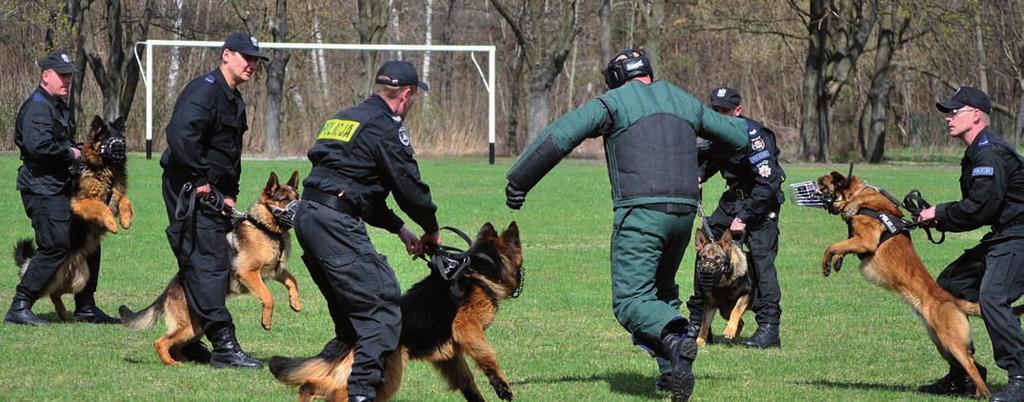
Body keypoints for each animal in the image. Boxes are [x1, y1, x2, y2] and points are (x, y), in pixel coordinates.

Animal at [13, 116, 132, 319]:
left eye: (121, 139)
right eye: (108, 139)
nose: (120, 149)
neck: (103, 168)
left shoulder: (116, 195)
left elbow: (126, 200)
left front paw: (126, 220)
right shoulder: (80, 202)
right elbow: (101, 207)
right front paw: (111, 224)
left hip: (81, 277)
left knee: (56, 294)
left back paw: (64, 313)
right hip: (54, 277)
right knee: (39, 292)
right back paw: (24, 313)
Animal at [120, 170, 303, 364]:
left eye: (297, 197)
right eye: (284, 199)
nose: (302, 210)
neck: (265, 228)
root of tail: (168, 290)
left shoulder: (276, 270)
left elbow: (293, 281)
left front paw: (295, 302)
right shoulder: (249, 273)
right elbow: (268, 297)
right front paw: (266, 321)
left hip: (196, 328)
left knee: (176, 346)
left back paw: (186, 361)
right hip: (189, 326)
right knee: (160, 342)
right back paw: (171, 363)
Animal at [268, 220, 524, 398]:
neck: (481, 266)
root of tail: (350, 332)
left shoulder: (449, 356)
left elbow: (468, 384)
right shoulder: (466, 327)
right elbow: (487, 356)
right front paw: (501, 385)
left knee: (310, 386)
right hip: (386, 376)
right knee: (337, 392)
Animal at [811, 170, 987, 396]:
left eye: (824, 183)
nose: (814, 183)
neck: (860, 198)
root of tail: (949, 298)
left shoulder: (865, 241)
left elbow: (831, 246)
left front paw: (826, 264)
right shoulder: (856, 241)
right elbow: (841, 248)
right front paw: (837, 262)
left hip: (952, 343)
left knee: (973, 367)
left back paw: (985, 394)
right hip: (942, 343)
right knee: (976, 366)